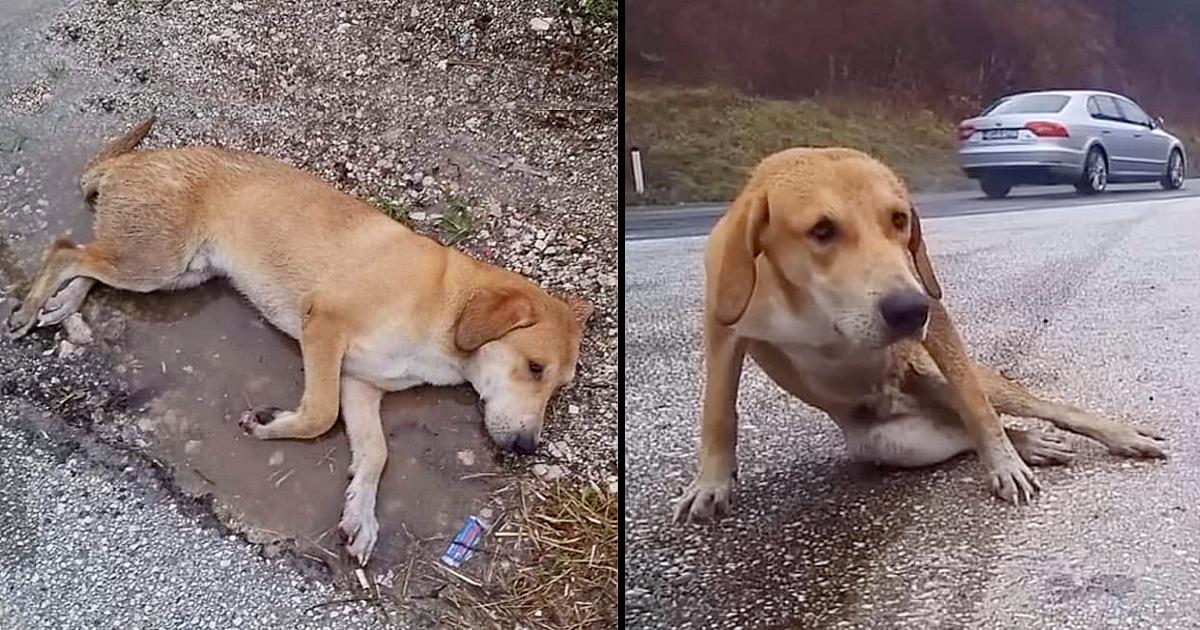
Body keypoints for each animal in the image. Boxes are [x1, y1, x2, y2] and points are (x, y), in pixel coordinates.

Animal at [7, 116, 592, 559]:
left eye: (557, 387)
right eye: (534, 368)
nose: (526, 448)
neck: (445, 306)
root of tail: (128, 163)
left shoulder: (362, 386)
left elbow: (376, 453)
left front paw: (361, 513)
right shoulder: (324, 329)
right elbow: (319, 415)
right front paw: (272, 425)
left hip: (170, 270)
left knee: (89, 262)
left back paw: (63, 302)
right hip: (157, 261)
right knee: (66, 249)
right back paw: (33, 304)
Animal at [681, 147, 1166, 520]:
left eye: (899, 219)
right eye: (822, 229)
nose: (909, 311)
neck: (810, 303)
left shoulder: (935, 317)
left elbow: (979, 408)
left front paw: (1004, 464)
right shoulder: (723, 329)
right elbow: (717, 410)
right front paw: (712, 483)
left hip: (940, 374)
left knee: (1031, 408)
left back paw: (1110, 437)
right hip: (895, 443)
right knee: (960, 432)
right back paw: (1030, 444)